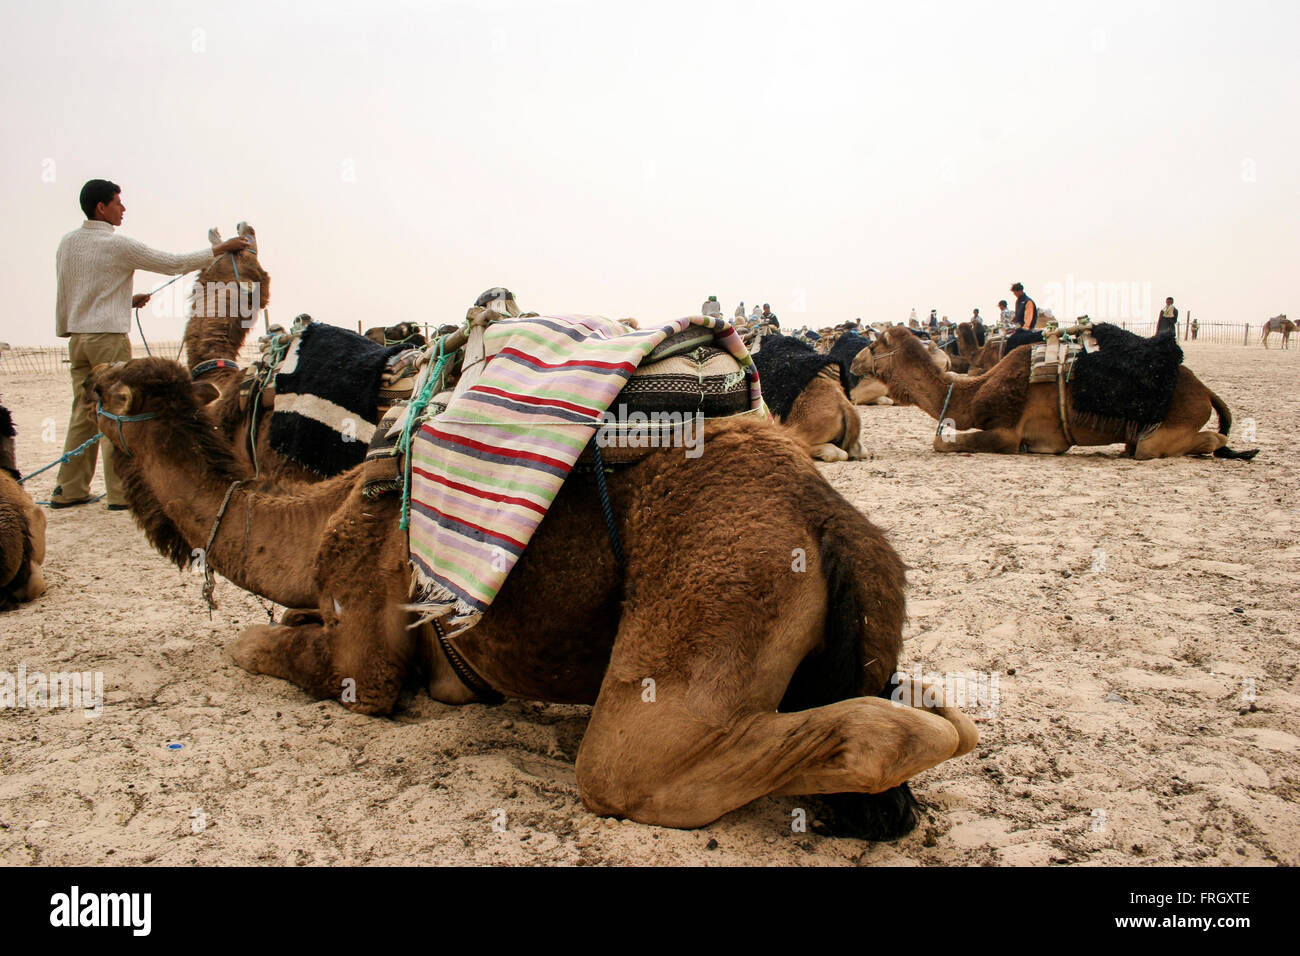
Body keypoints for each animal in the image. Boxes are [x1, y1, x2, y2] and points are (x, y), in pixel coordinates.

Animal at [86, 358, 977, 837]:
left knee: (629, 766)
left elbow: (272, 651)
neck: (320, 515)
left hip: (724, 590)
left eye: (107, 390)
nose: (91, 370)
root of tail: (827, 517)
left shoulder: (361, 641)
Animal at [852, 325, 1258, 460]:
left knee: (1199, 440)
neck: (973, 391)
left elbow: (941, 441)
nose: (854, 362)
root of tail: (1205, 391)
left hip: (1178, 420)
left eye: (872, 345)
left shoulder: (1009, 432)